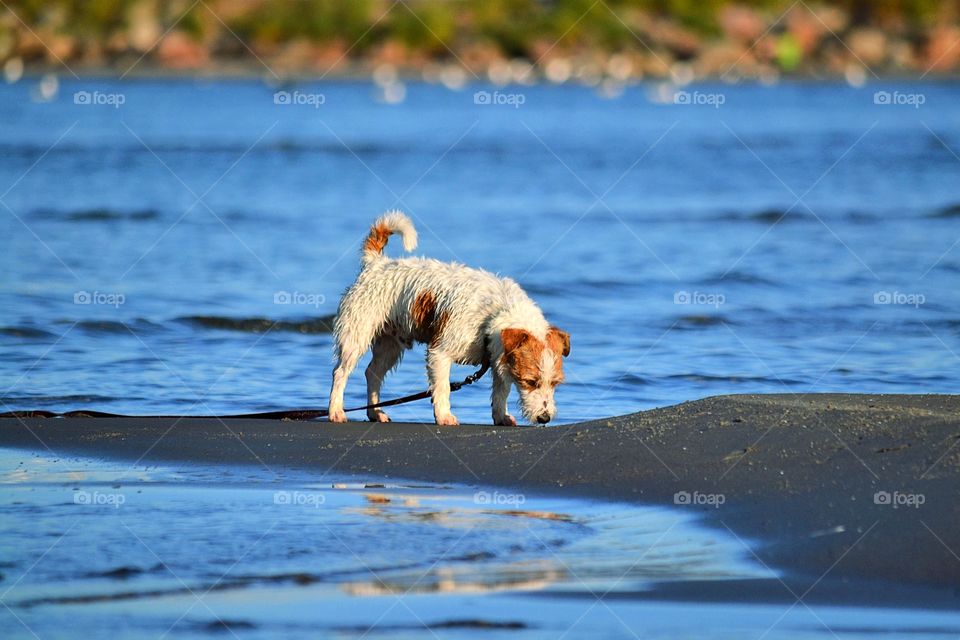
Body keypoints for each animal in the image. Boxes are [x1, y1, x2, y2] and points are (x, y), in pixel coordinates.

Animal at [330, 212, 568, 428]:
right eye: (530, 381)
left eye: (555, 383)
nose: (544, 418)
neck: (493, 313)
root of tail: (376, 263)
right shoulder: (440, 353)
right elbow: (443, 387)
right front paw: (444, 416)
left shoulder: (499, 357)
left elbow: (501, 392)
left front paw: (501, 417)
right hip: (356, 335)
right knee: (340, 372)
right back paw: (336, 411)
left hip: (389, 344)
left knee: (373, 373)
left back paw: (375, 413)